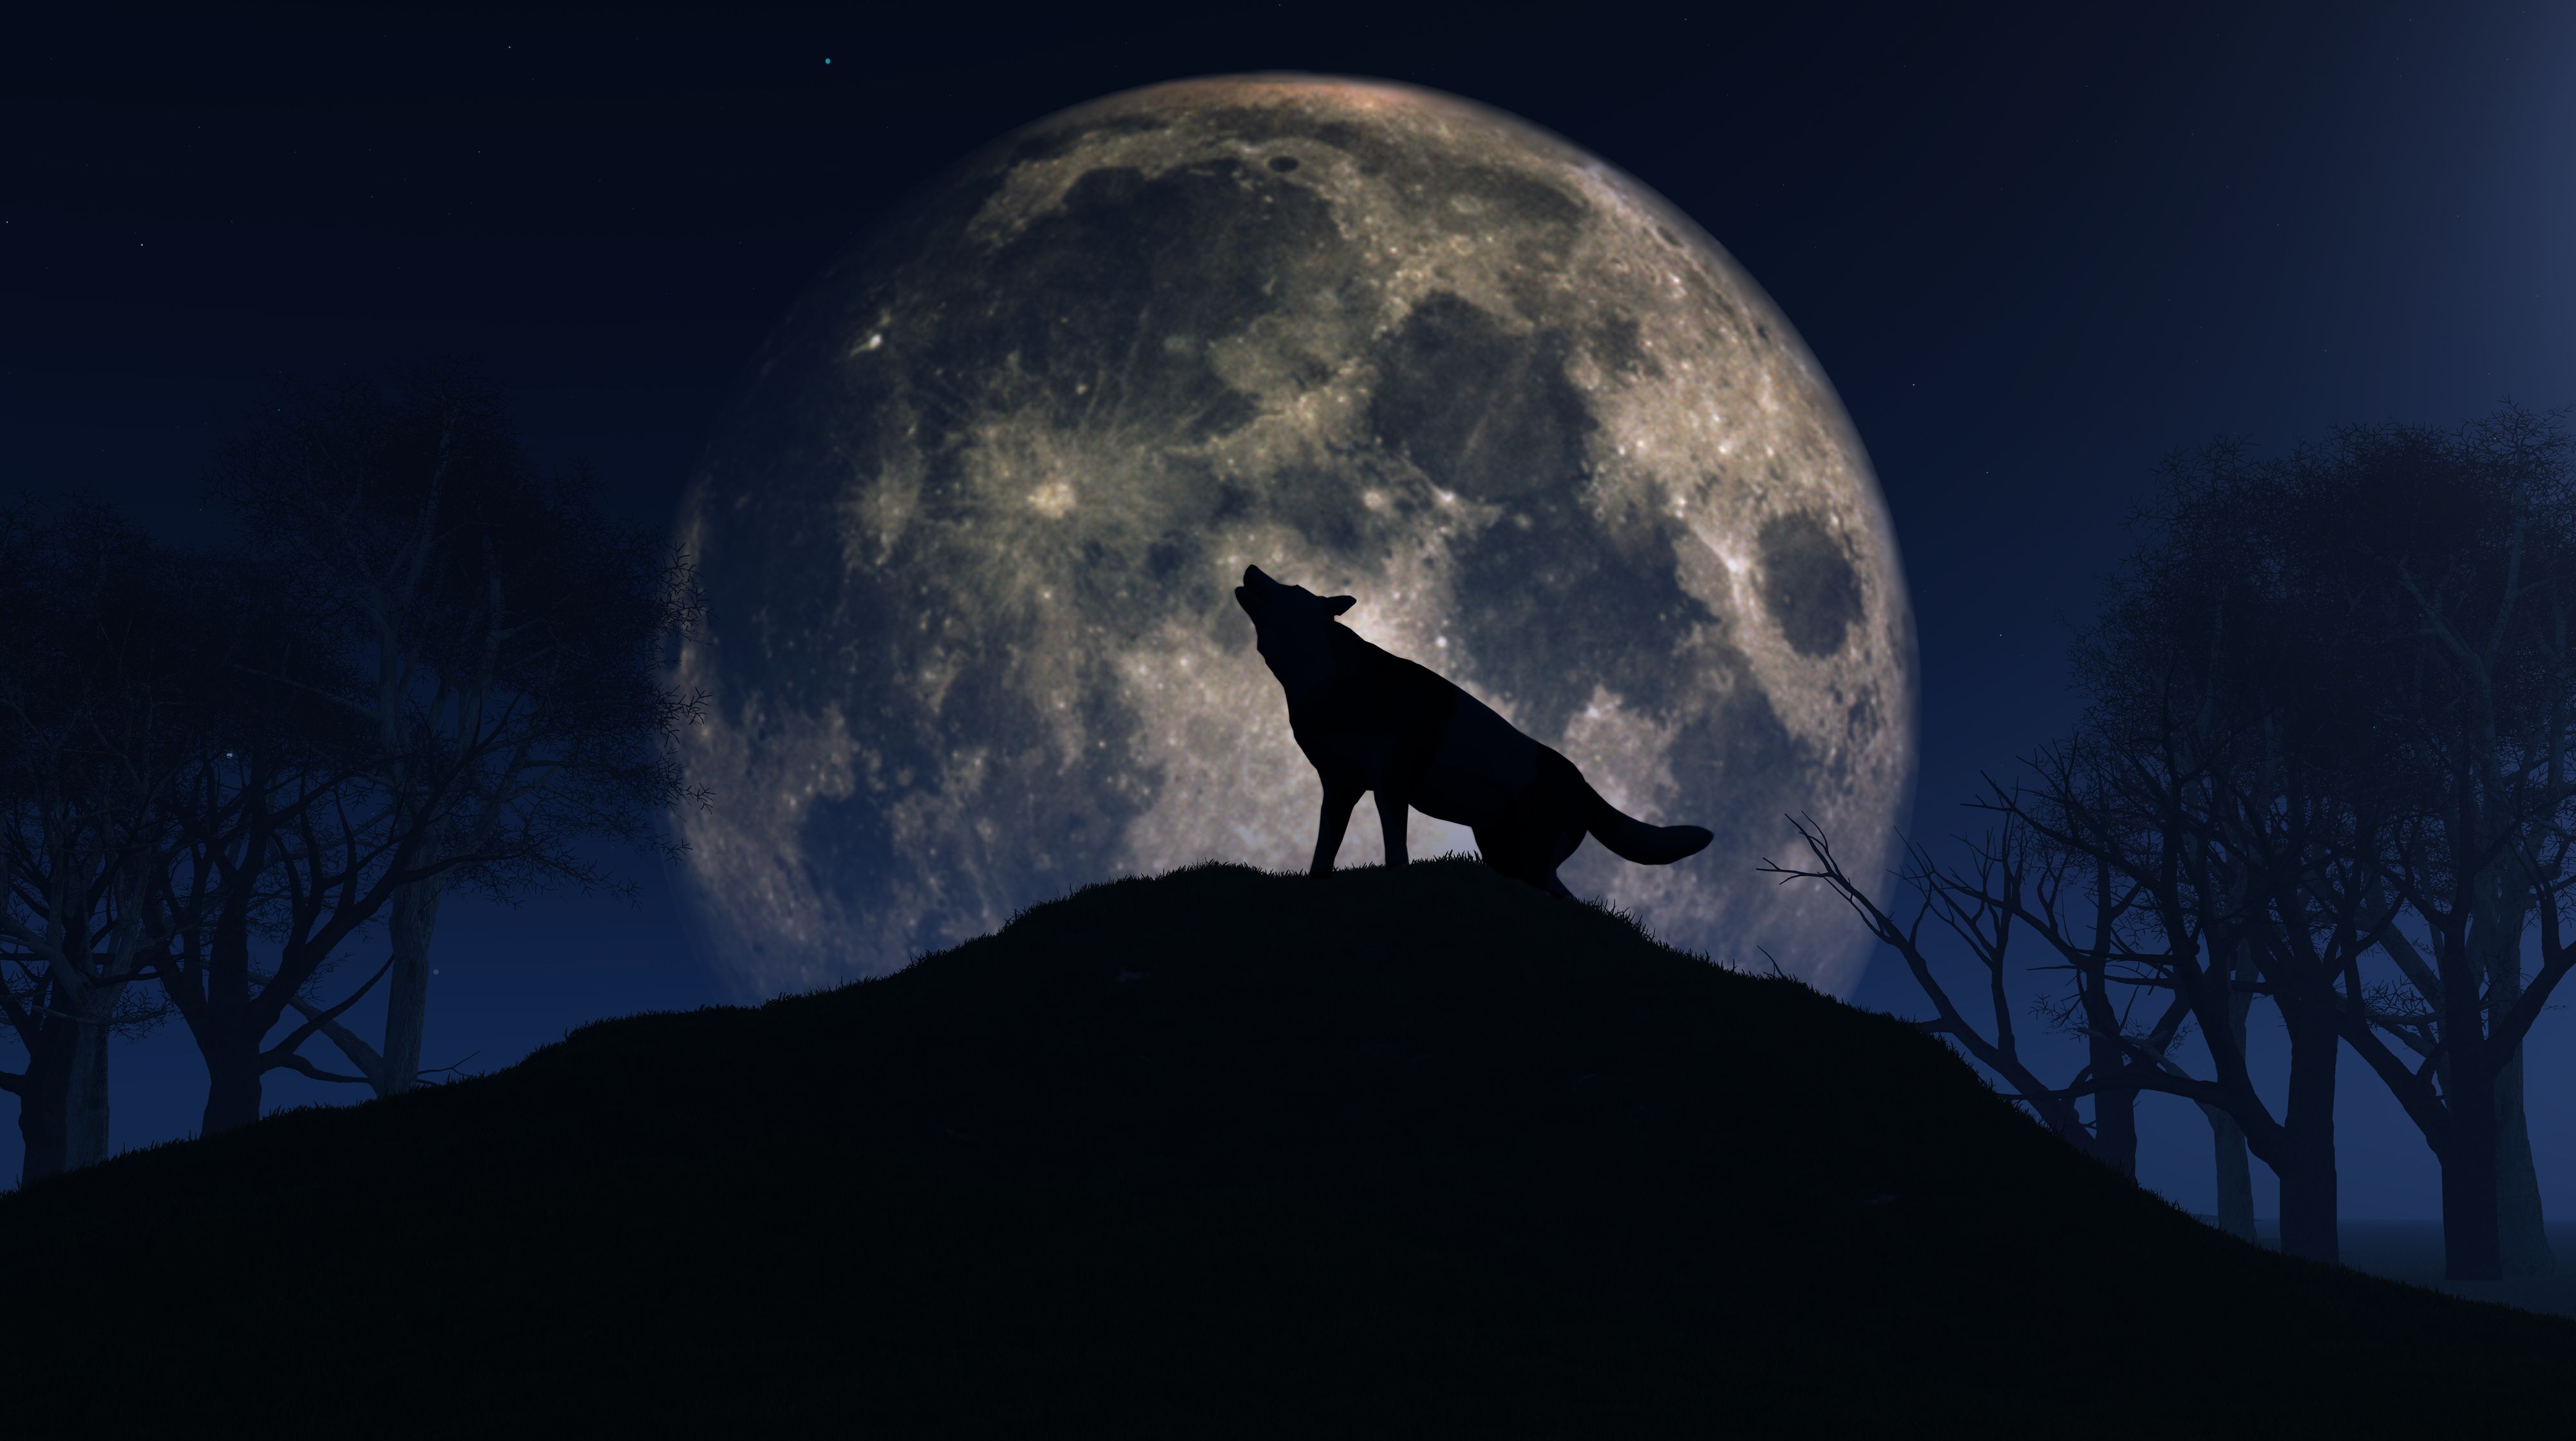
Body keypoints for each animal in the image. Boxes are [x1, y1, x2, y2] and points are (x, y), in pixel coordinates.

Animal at [1233, 565, 1713, 899]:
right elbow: (1323, 855)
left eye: (1293, 589)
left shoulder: (1391, 786)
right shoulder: (1340, 788)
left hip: (1530, 860)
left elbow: (1396, 856)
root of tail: (1584, 786)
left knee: (1567, 898)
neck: (1323, 676)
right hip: (1504, 855)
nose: (1252, 567)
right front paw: (1316, 881)